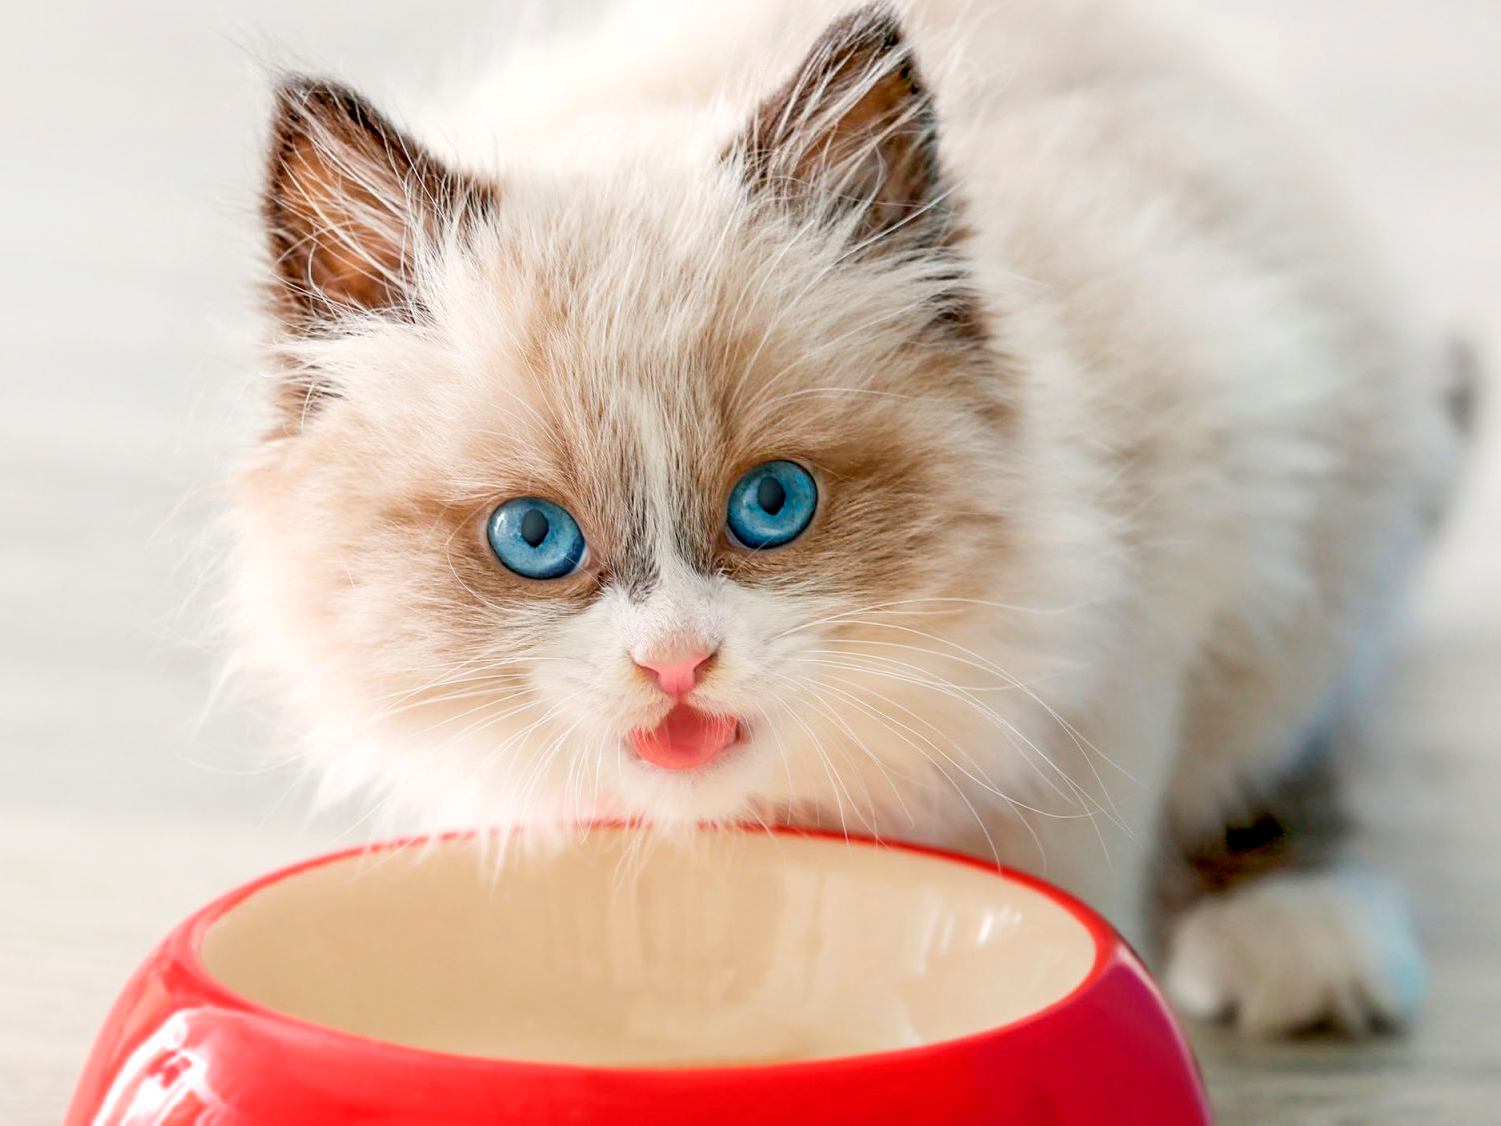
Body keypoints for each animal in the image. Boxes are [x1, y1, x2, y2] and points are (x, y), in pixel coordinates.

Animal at [234, 2, 1464, 1038]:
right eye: (534, 539)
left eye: (772, 505)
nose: (675, 665)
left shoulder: (1143, 638)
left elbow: (1071, 879)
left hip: (1319, 532)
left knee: (1288, 752)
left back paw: (1305, 948)